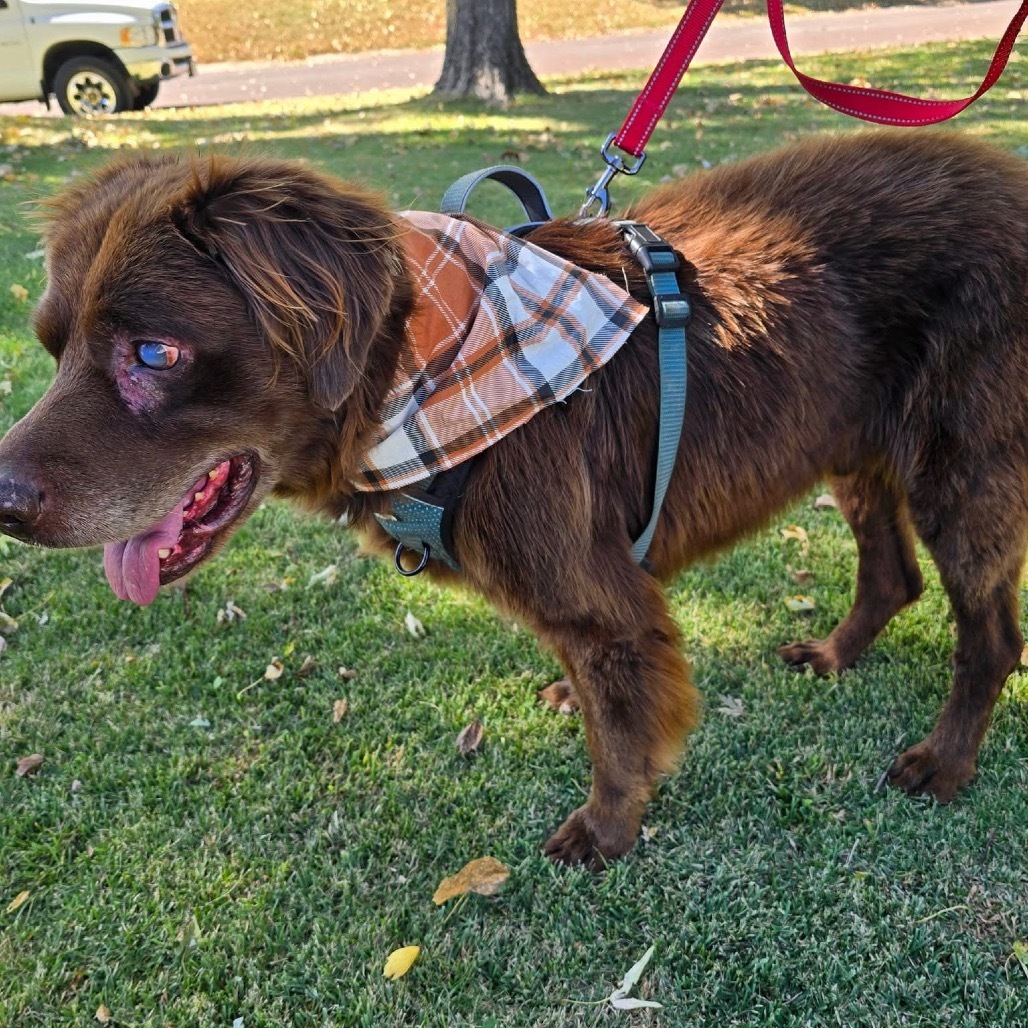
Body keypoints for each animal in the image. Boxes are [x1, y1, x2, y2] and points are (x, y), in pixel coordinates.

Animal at [0, 130, 1023, 867]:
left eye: (154, 353)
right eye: (50, 343)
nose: (2, 500)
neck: (411, 368)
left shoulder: (602, 596)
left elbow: (622, 731)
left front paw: (606, 832)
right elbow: (603, 691)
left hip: (962, 469)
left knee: (991, 639)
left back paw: (945, 762)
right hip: (858, 441)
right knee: (892, 577)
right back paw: (837, 655)